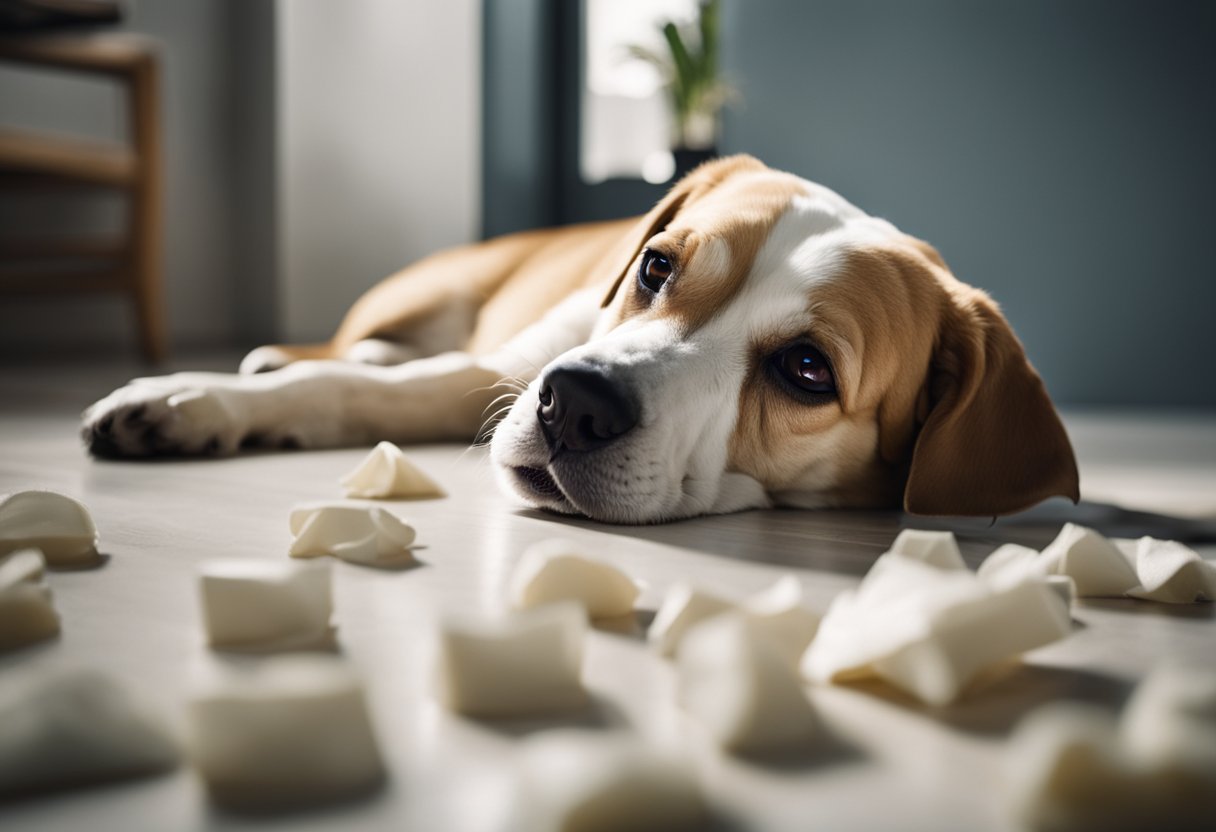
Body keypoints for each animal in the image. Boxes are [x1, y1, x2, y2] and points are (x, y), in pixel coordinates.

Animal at [80, 152, 1079, 523]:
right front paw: (187, 400)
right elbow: (349, 390)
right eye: (658, 268)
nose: (575, 403)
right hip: (428, 296)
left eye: (807, 369)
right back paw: (280, 352)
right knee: (344, 350)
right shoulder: (505, 368)